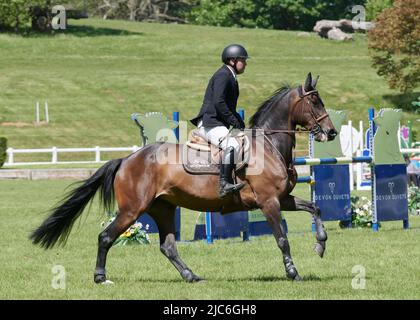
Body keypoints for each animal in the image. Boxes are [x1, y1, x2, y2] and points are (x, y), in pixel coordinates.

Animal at [30, 72, 338, 282]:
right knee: (106, 237)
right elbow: (282, 238)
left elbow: (315, 207)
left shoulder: (282, 198)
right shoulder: (269, 202)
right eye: (315, 101)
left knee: (168, 246)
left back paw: (191, 276)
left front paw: (320, 244)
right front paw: (293, 272)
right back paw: (100, 277)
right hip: (132, 210)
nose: (331, 132)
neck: (270, 145)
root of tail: (127, 160)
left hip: (163, 208)